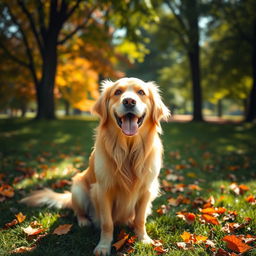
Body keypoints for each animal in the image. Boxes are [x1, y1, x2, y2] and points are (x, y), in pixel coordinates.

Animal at [21, 77, 170, 255]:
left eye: (141, 92)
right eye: (117, 92)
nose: (129, 101)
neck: (127, 150)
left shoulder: (147, 190)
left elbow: (140, 220)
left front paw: (143, 239)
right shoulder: (103, 190)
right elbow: (107, 223)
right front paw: (104, 246)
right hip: (78, 188)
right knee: (78, 211)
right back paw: (84, 221)